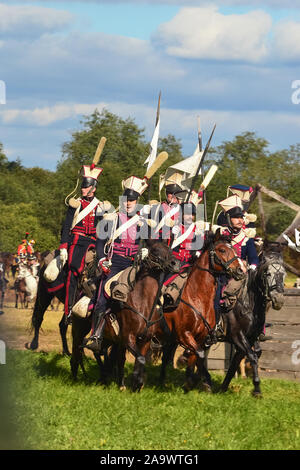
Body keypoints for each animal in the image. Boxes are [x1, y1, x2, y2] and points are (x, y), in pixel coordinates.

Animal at [220, 239, 286, 396]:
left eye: (284, 273)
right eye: (267, 273)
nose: (279, 300)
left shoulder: (251, 337)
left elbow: (245, 357)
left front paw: (223, 387)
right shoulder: (237, 335)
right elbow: (252, 356)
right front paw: (256, 388)